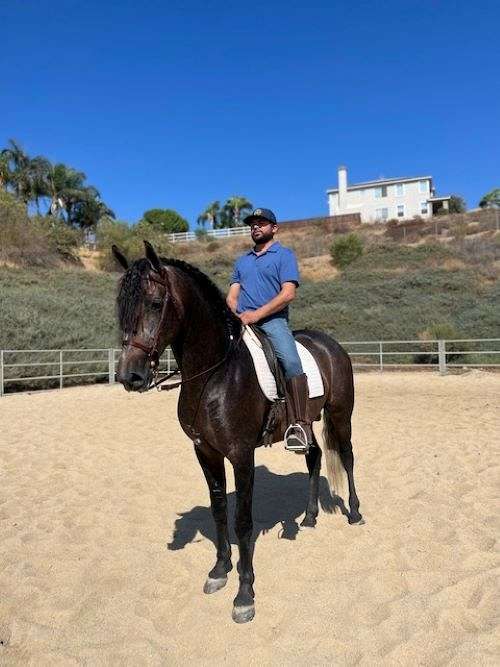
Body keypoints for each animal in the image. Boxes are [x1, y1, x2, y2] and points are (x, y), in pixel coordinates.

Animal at [112, 243, 364, 624]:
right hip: (306, 423)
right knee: (315, 458)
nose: (131, 376)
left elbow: (243, 520)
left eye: (155, 303)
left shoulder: (241, 454)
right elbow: (219, 511)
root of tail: (329, 343)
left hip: (340, 414)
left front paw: (245, 595)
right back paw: (308, 518)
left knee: (347, 457)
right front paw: (219, 571)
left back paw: (355, 512)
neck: (214, 374)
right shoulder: (205, 452)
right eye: (121, 306)